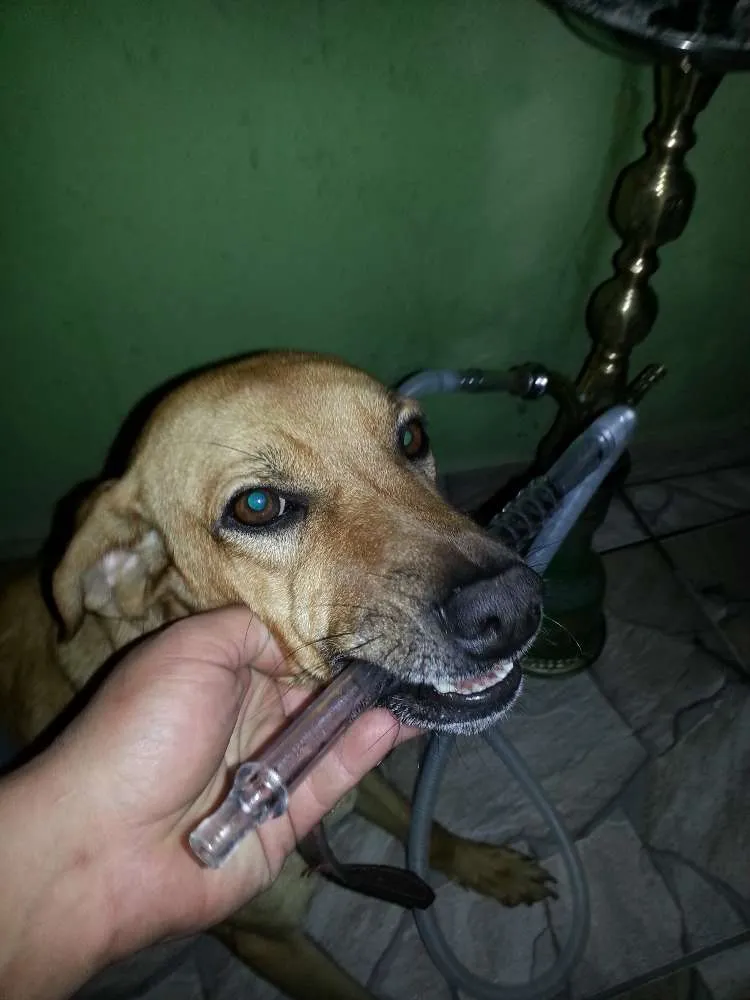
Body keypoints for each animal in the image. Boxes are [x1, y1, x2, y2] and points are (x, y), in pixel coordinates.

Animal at [0, 350, 554, 1000]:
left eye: (412, 437)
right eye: (258, 506)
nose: (513, 608)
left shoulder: (360, 774)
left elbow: (427, 830)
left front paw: (486, 865)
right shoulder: (272, 945)